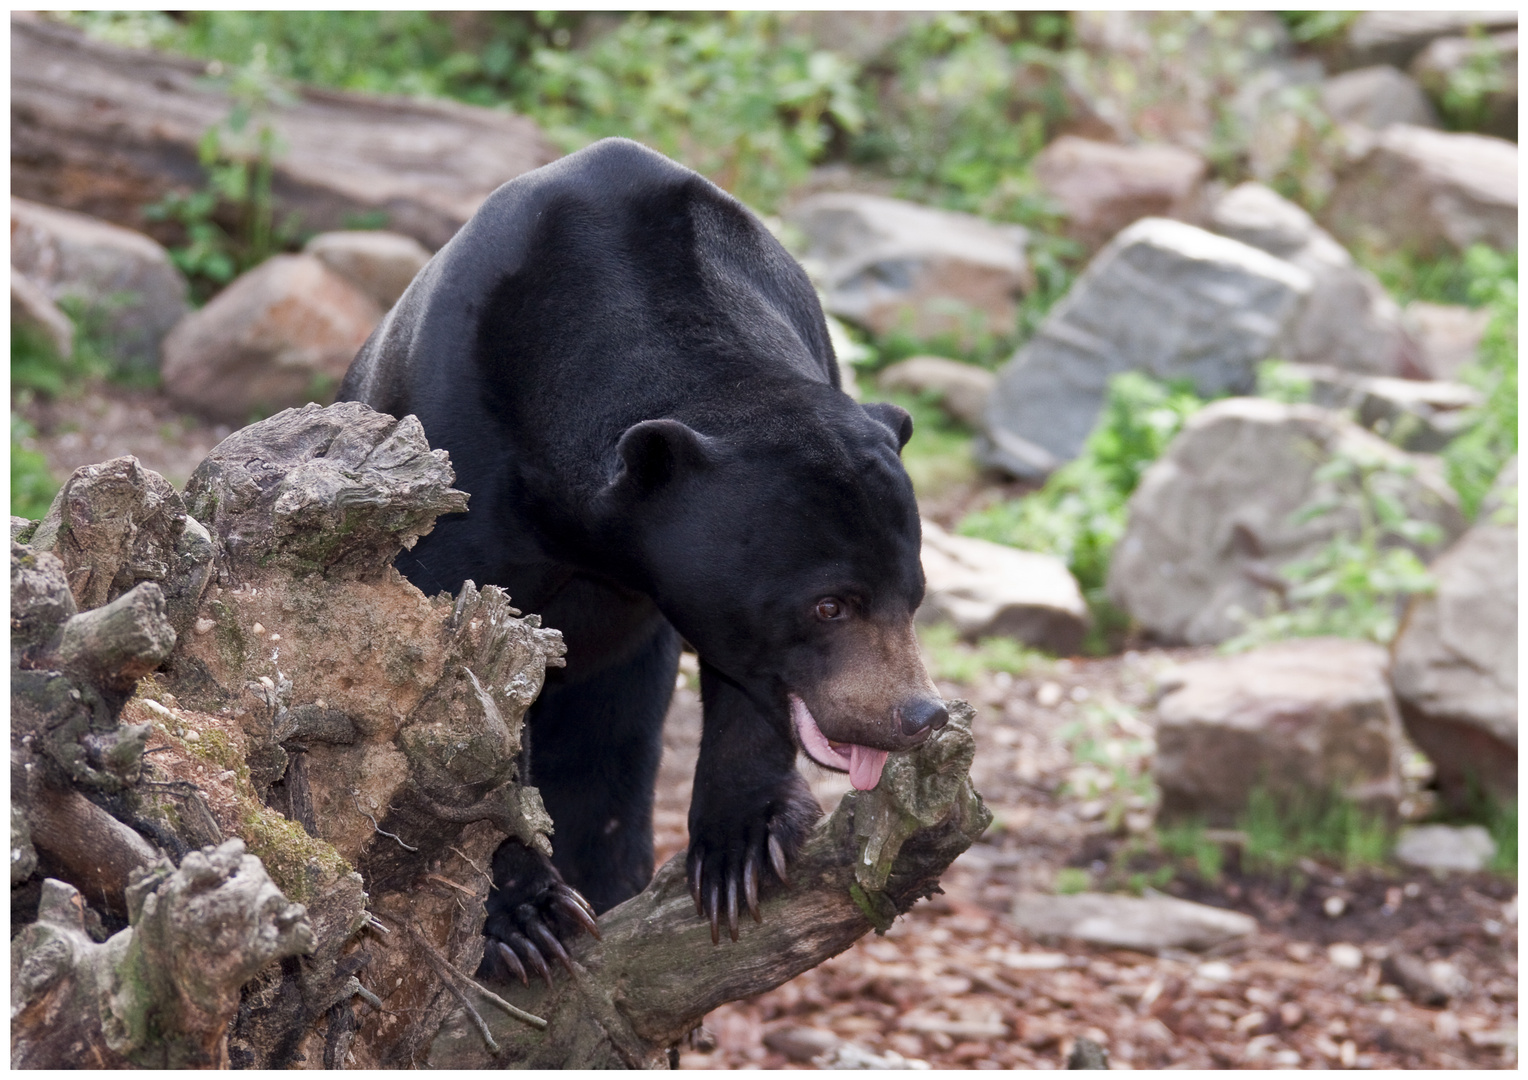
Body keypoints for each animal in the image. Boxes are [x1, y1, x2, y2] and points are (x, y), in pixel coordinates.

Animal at [340, 139, 947, 983]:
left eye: (912, 594)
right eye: (830, 604)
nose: (920, 714)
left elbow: (743, 699)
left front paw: (741, 848)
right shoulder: (455, 469)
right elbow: (456, 696)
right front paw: (523, 919)